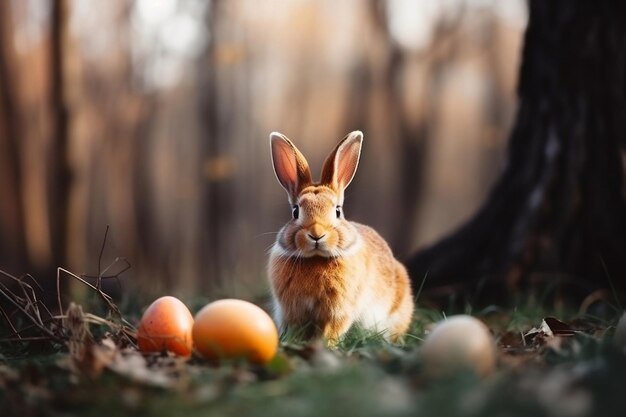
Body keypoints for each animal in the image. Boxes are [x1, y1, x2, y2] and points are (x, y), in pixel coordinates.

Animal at [266, 132, 412, 342]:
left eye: (337, 211)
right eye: (295, 212)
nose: (316, 235)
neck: (316, 259)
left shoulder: (338, 311)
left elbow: (331, 331)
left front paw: (327, 345)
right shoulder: (292, 311)